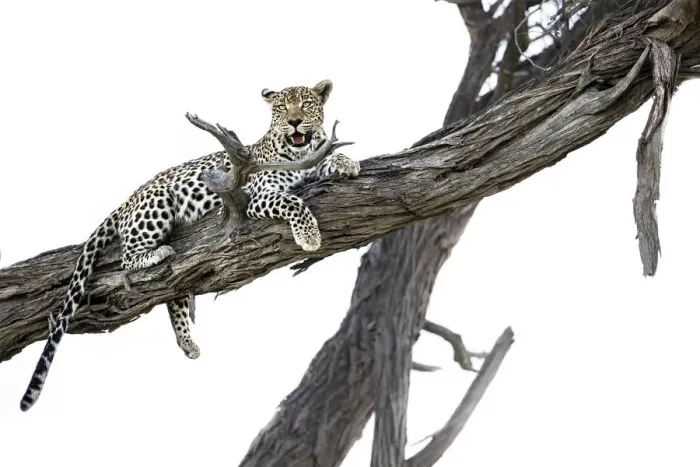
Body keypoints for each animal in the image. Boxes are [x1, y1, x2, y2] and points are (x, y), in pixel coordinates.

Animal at [19, 79, 360, 411]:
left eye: (306, 104)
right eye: (280, 108)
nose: (294, 121)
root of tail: (126, 201)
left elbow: (328, 159)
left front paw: (348, 163)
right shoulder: (259, 195)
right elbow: (293, 201)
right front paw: (309, 236)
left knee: (175, 295)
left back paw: (188, 343)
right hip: (157, 204)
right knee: (129, 259)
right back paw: (157, 254)